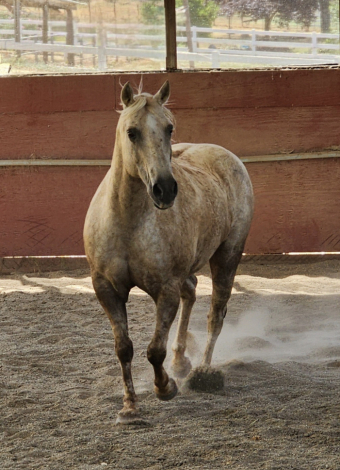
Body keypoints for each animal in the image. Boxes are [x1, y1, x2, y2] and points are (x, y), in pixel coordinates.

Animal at [83, 79, 254, 424]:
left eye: (169, 128)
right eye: (132, 131)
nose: (164, 189)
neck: (128, 222)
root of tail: (227, 156)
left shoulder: (165, 290)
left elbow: (154, 349)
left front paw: (165, 388)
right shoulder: (106, 288)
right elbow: (124, 347)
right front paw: (130, 407)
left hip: (227, 257)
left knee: (216, 314)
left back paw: (202, 372)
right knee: (192, 291)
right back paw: (180, 361)